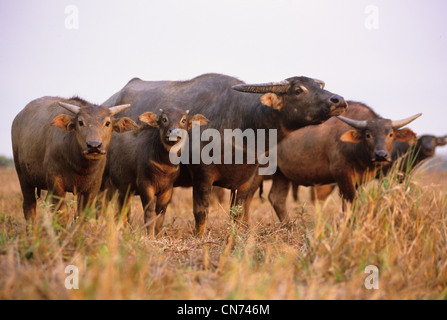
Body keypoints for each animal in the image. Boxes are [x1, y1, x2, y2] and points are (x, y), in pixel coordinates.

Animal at [12, 96, 138, 224]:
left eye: (107, 123)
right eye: (81, 122)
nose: (94, 146)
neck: (80, 167)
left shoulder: (92, 188)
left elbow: (82, 217)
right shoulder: (56, 184)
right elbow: (61, 215)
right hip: (23, 178)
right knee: (29, 206)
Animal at [103, 107, 210, 235]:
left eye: (184, 120)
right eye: (164, 119)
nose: (174, 132)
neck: (165, 166)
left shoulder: (167, 189)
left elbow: (160, 215)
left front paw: (157, 235)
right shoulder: (145, 185)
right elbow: (149, 213)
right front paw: (150, 236)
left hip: (123, 189)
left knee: (122, 209)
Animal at [264, 102, 422, 222]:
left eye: (390, 134)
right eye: (368, 134)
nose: (381, 155)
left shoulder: (359, 180)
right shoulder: (342, 175)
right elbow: (350, 202)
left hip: (281, 174)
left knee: (277, 199)